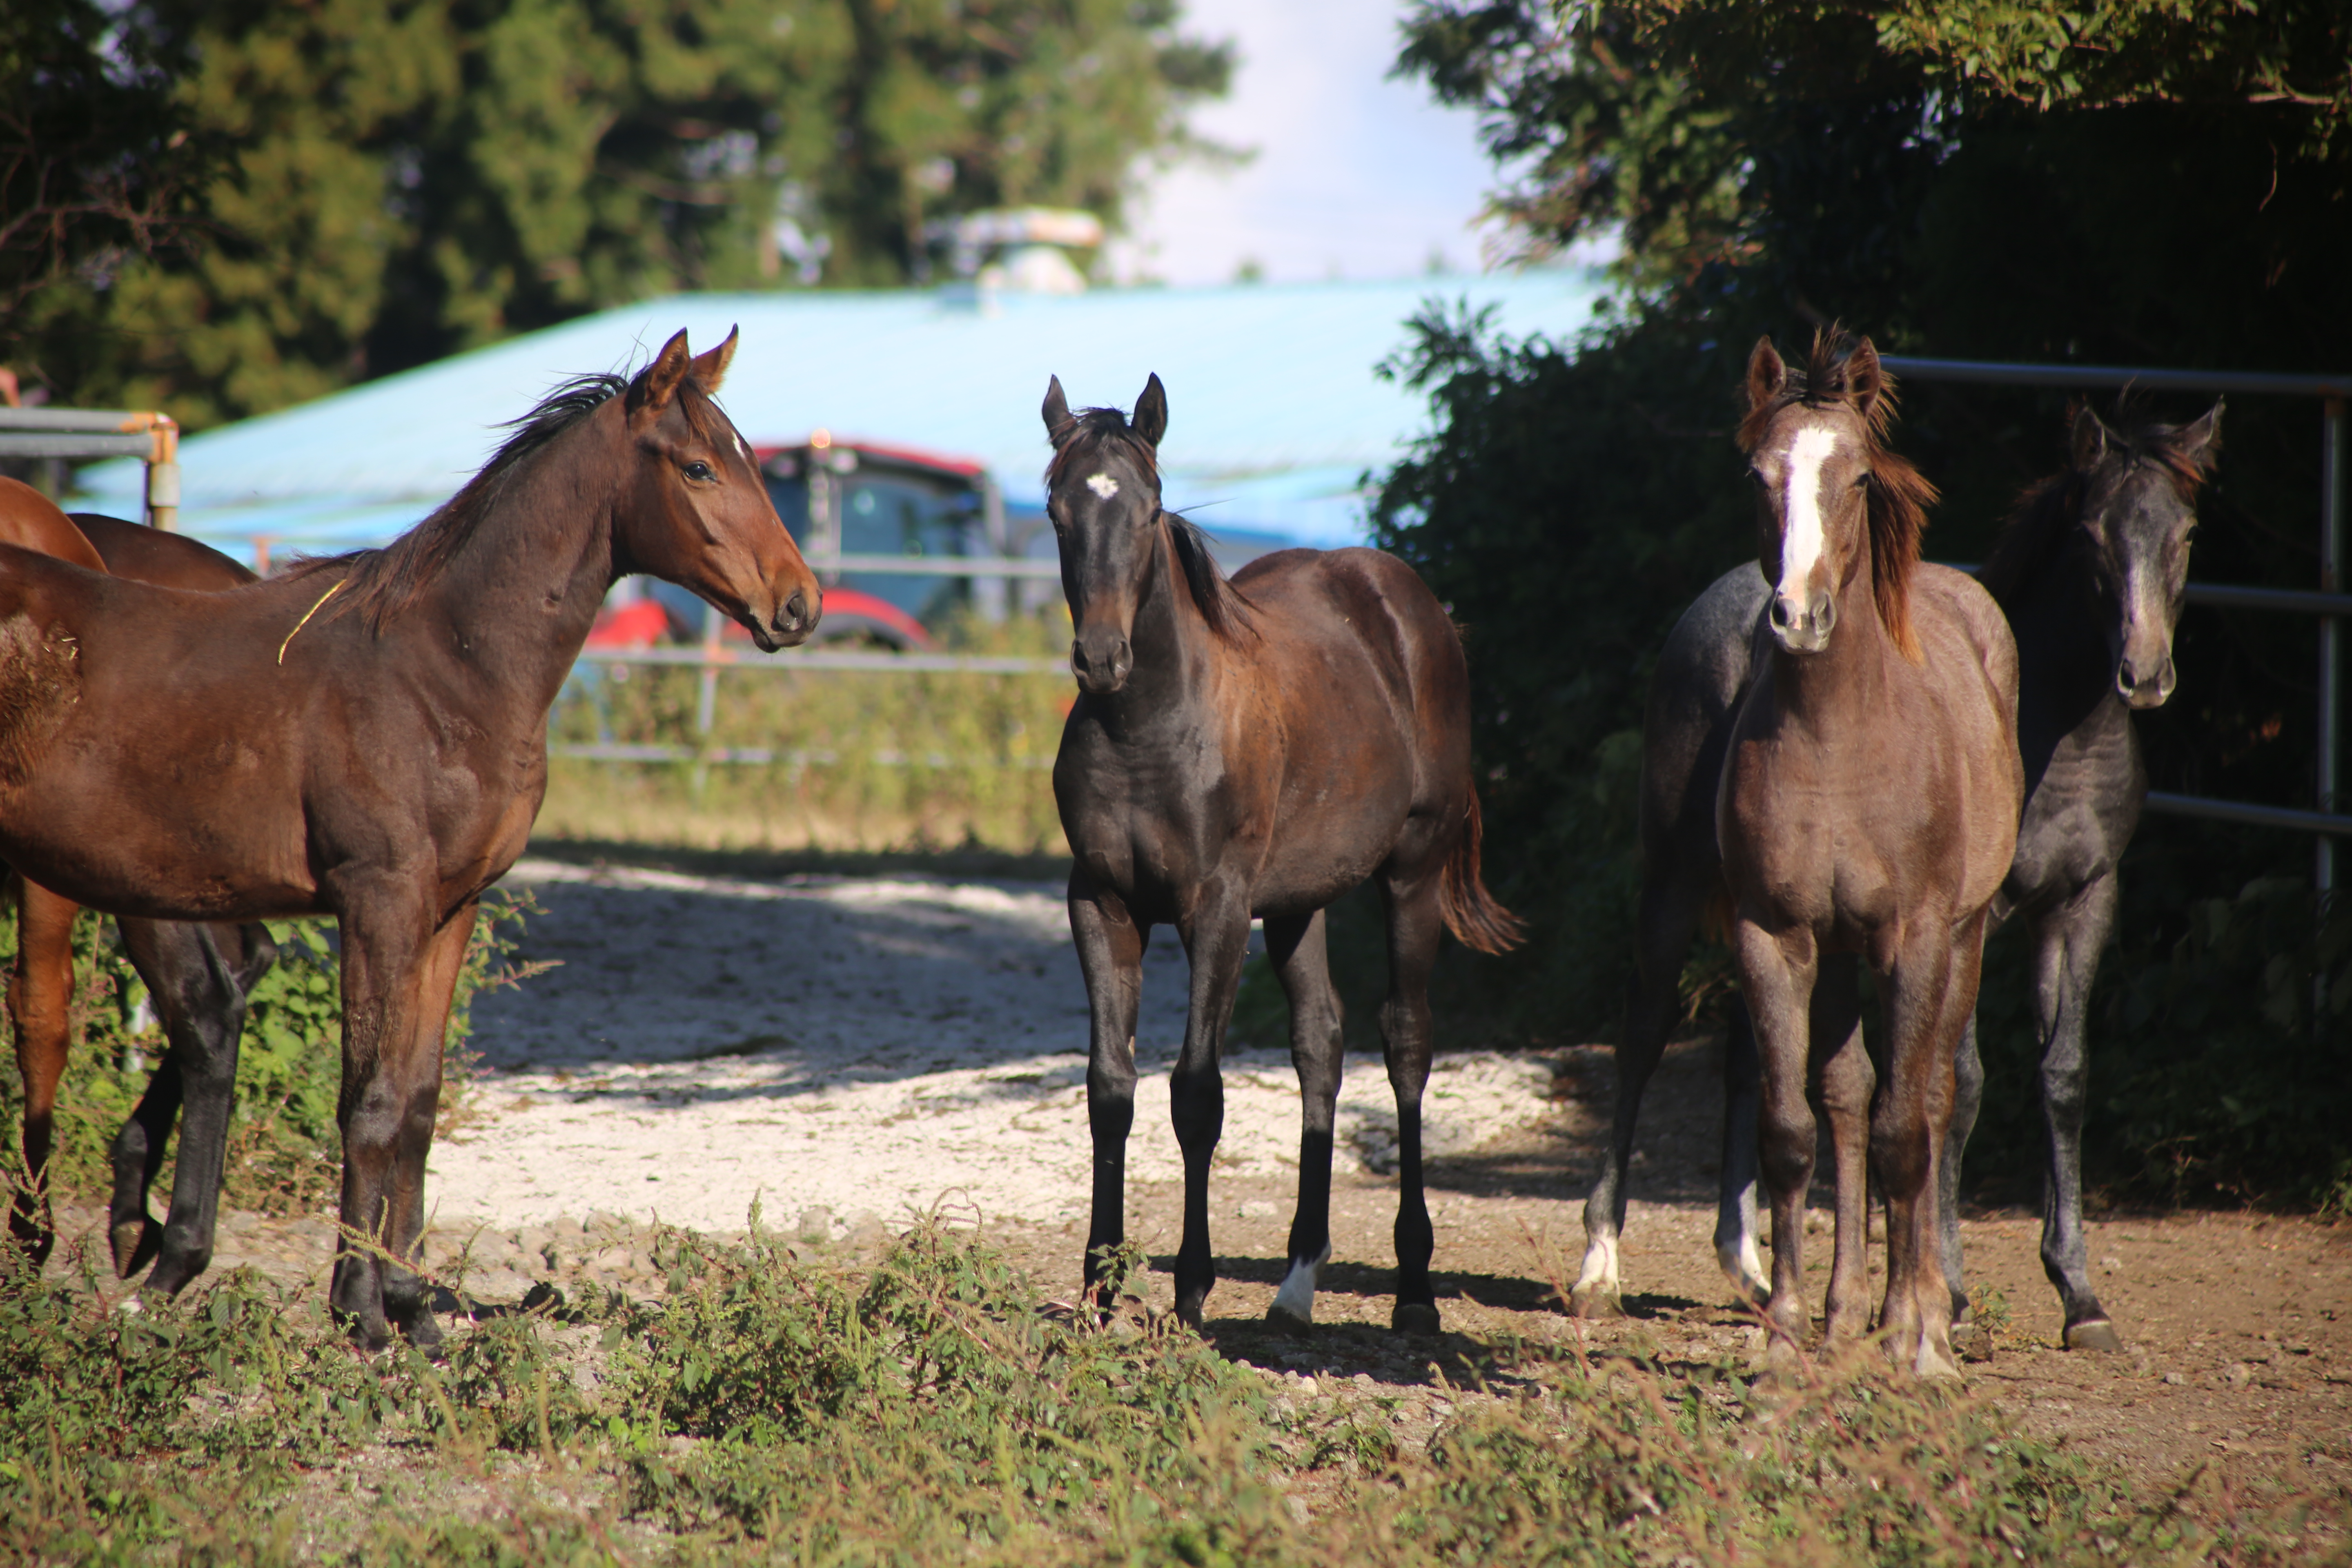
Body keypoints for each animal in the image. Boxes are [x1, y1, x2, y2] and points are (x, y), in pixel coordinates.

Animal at [1049, 374, 1524, 1335]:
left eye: (1150, 510)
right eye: (1056, 512)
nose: (1102, 659)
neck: (1149, 728)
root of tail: (1412, 607)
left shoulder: (1218, 909)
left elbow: (1197, 1093)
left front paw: (1192, 1290)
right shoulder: (1102, 903)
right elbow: (1110, 1088)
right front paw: (1100, 1287)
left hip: (1410, 876)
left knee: (1405, 1043)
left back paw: (1414, 1288)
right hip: (1301, 903)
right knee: (1322, 1047)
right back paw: (1298, 1282)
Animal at [1712, 334, 2022, 1373]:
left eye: (1852, 477)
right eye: (1759, 474)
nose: (1798, 616)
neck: (1837, 737)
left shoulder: (1914, 937)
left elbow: (1903, 1130)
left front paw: (1914, 1340)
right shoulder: (1772, 935)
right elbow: (1789, 1129)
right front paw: (1781, 1327)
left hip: (1963, 939)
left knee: (1925, 1100)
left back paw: (1917, 1311)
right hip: (1842, 953)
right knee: (1845, 1098)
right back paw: (1846, 1305)